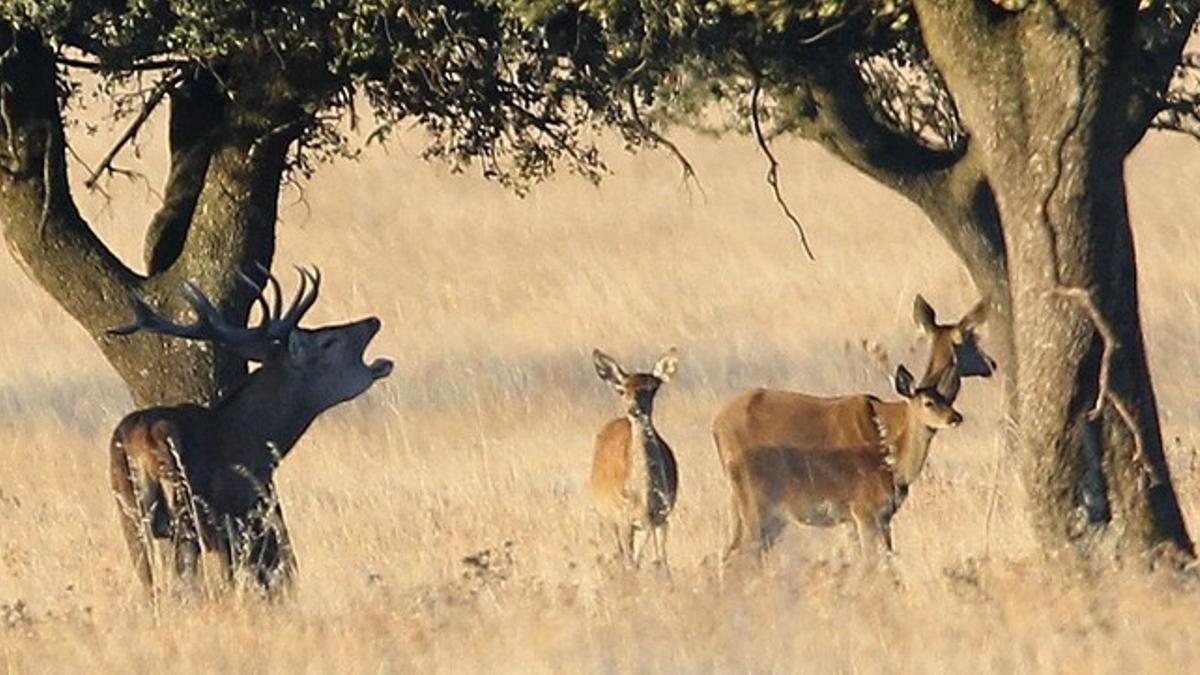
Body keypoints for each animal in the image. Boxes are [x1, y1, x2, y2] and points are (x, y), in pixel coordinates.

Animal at [105, 265, 391, 595]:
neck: (251, 439)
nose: (372, 321)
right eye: (327, 341)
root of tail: (139, 438)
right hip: (185, 506)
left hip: (128, 508)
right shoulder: (237, 512)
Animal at [588, 343, 681, 569]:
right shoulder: (623, 517)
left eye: (651, 389)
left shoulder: (663, 515)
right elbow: (630, 562)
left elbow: (662, 562)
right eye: (621, 390)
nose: (634, 410)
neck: (643, 498)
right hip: (605, 514)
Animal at [720, 362, 964, 557]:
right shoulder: (864, 512)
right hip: (757, 511)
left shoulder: (880, 518)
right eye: (928, 402)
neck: (892, 469)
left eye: (947, 398)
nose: (956, 417)